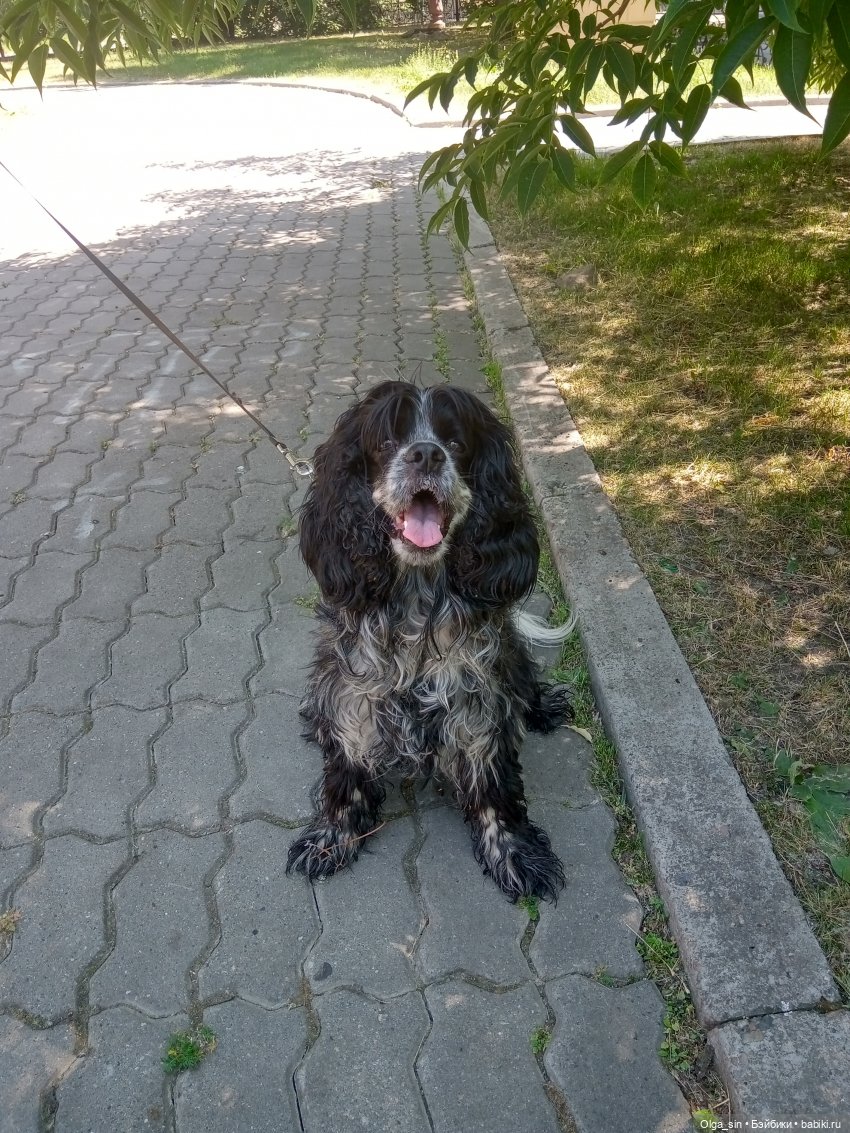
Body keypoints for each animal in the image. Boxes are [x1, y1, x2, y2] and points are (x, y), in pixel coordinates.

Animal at [286, 380, 575, 900]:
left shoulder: (477, 690)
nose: (425, 453)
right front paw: (332, 834)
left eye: (456, 442)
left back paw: (542, 707)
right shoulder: (354, 686)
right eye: (386, 442)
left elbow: (492, 778)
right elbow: (347, 765)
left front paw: (514, 851)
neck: (418, 595)